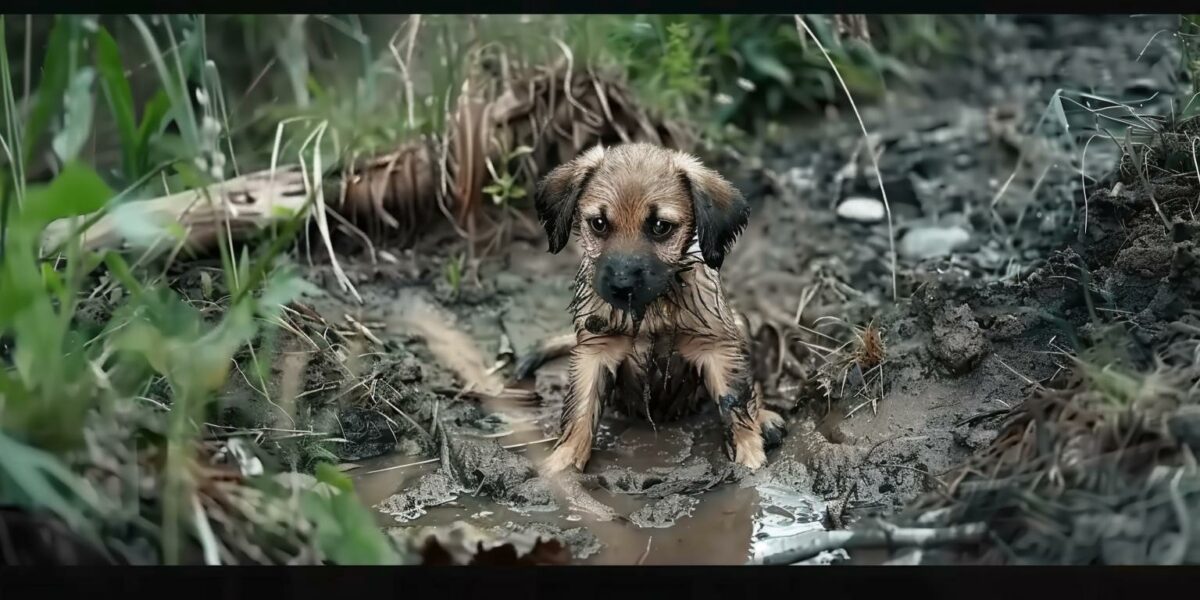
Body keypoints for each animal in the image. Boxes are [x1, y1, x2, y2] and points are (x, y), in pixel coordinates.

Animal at [518, 142, 782, 475]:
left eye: (660, 227)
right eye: (599, 224)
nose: (621, 284)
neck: (651, 310)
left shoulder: (715, 344)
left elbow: (734, 397)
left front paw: (749, 455)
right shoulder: (595, 350)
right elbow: (580, 407)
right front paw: (564, 462)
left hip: (737, 324)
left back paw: (766, 419)